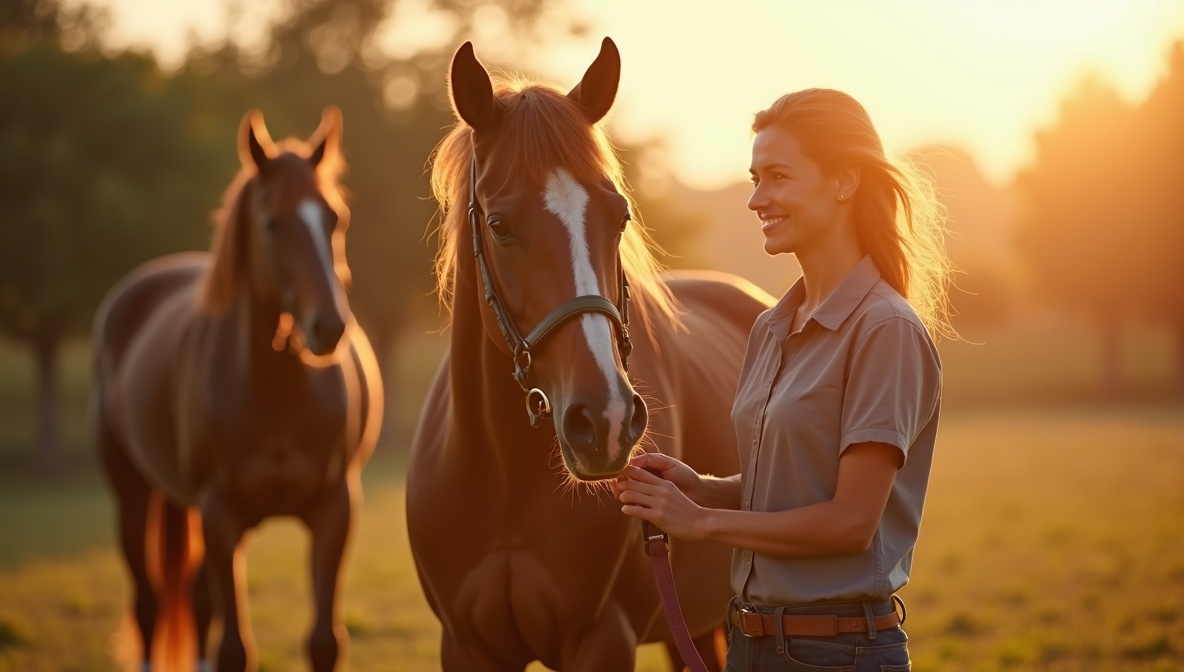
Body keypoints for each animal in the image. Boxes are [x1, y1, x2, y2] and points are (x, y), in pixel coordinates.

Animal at [91, 107, 383, 672]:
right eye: (272, 223)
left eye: (334, 218)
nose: (329, 327)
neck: (277, 395)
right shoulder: (221, 516)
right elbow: (232, 649)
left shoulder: (335, 512)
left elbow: (323, 641)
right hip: (134, 494)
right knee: (150, 605)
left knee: (197, 601)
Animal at [406, 38, 773, 671]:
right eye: (499, 225)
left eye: (619, 215)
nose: (605, 421)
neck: (504, 481)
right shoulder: (466, 645)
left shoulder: (602, 639)